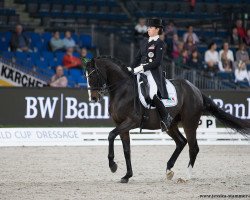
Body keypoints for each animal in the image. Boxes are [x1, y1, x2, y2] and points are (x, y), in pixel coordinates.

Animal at [85, 55, 250, 183]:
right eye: (85, 76)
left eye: (92, 75)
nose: (93, 98)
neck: (122, 90)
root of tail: (195, 89)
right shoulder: (122, 125)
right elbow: (127, 150)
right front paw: (126, 176)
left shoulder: (131, 122)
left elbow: (110, 135)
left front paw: (113, 165)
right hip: (170, 124)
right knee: (181, 142)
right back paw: (169, 170)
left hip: (190, 123)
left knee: (193, 147)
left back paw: (187, 176)